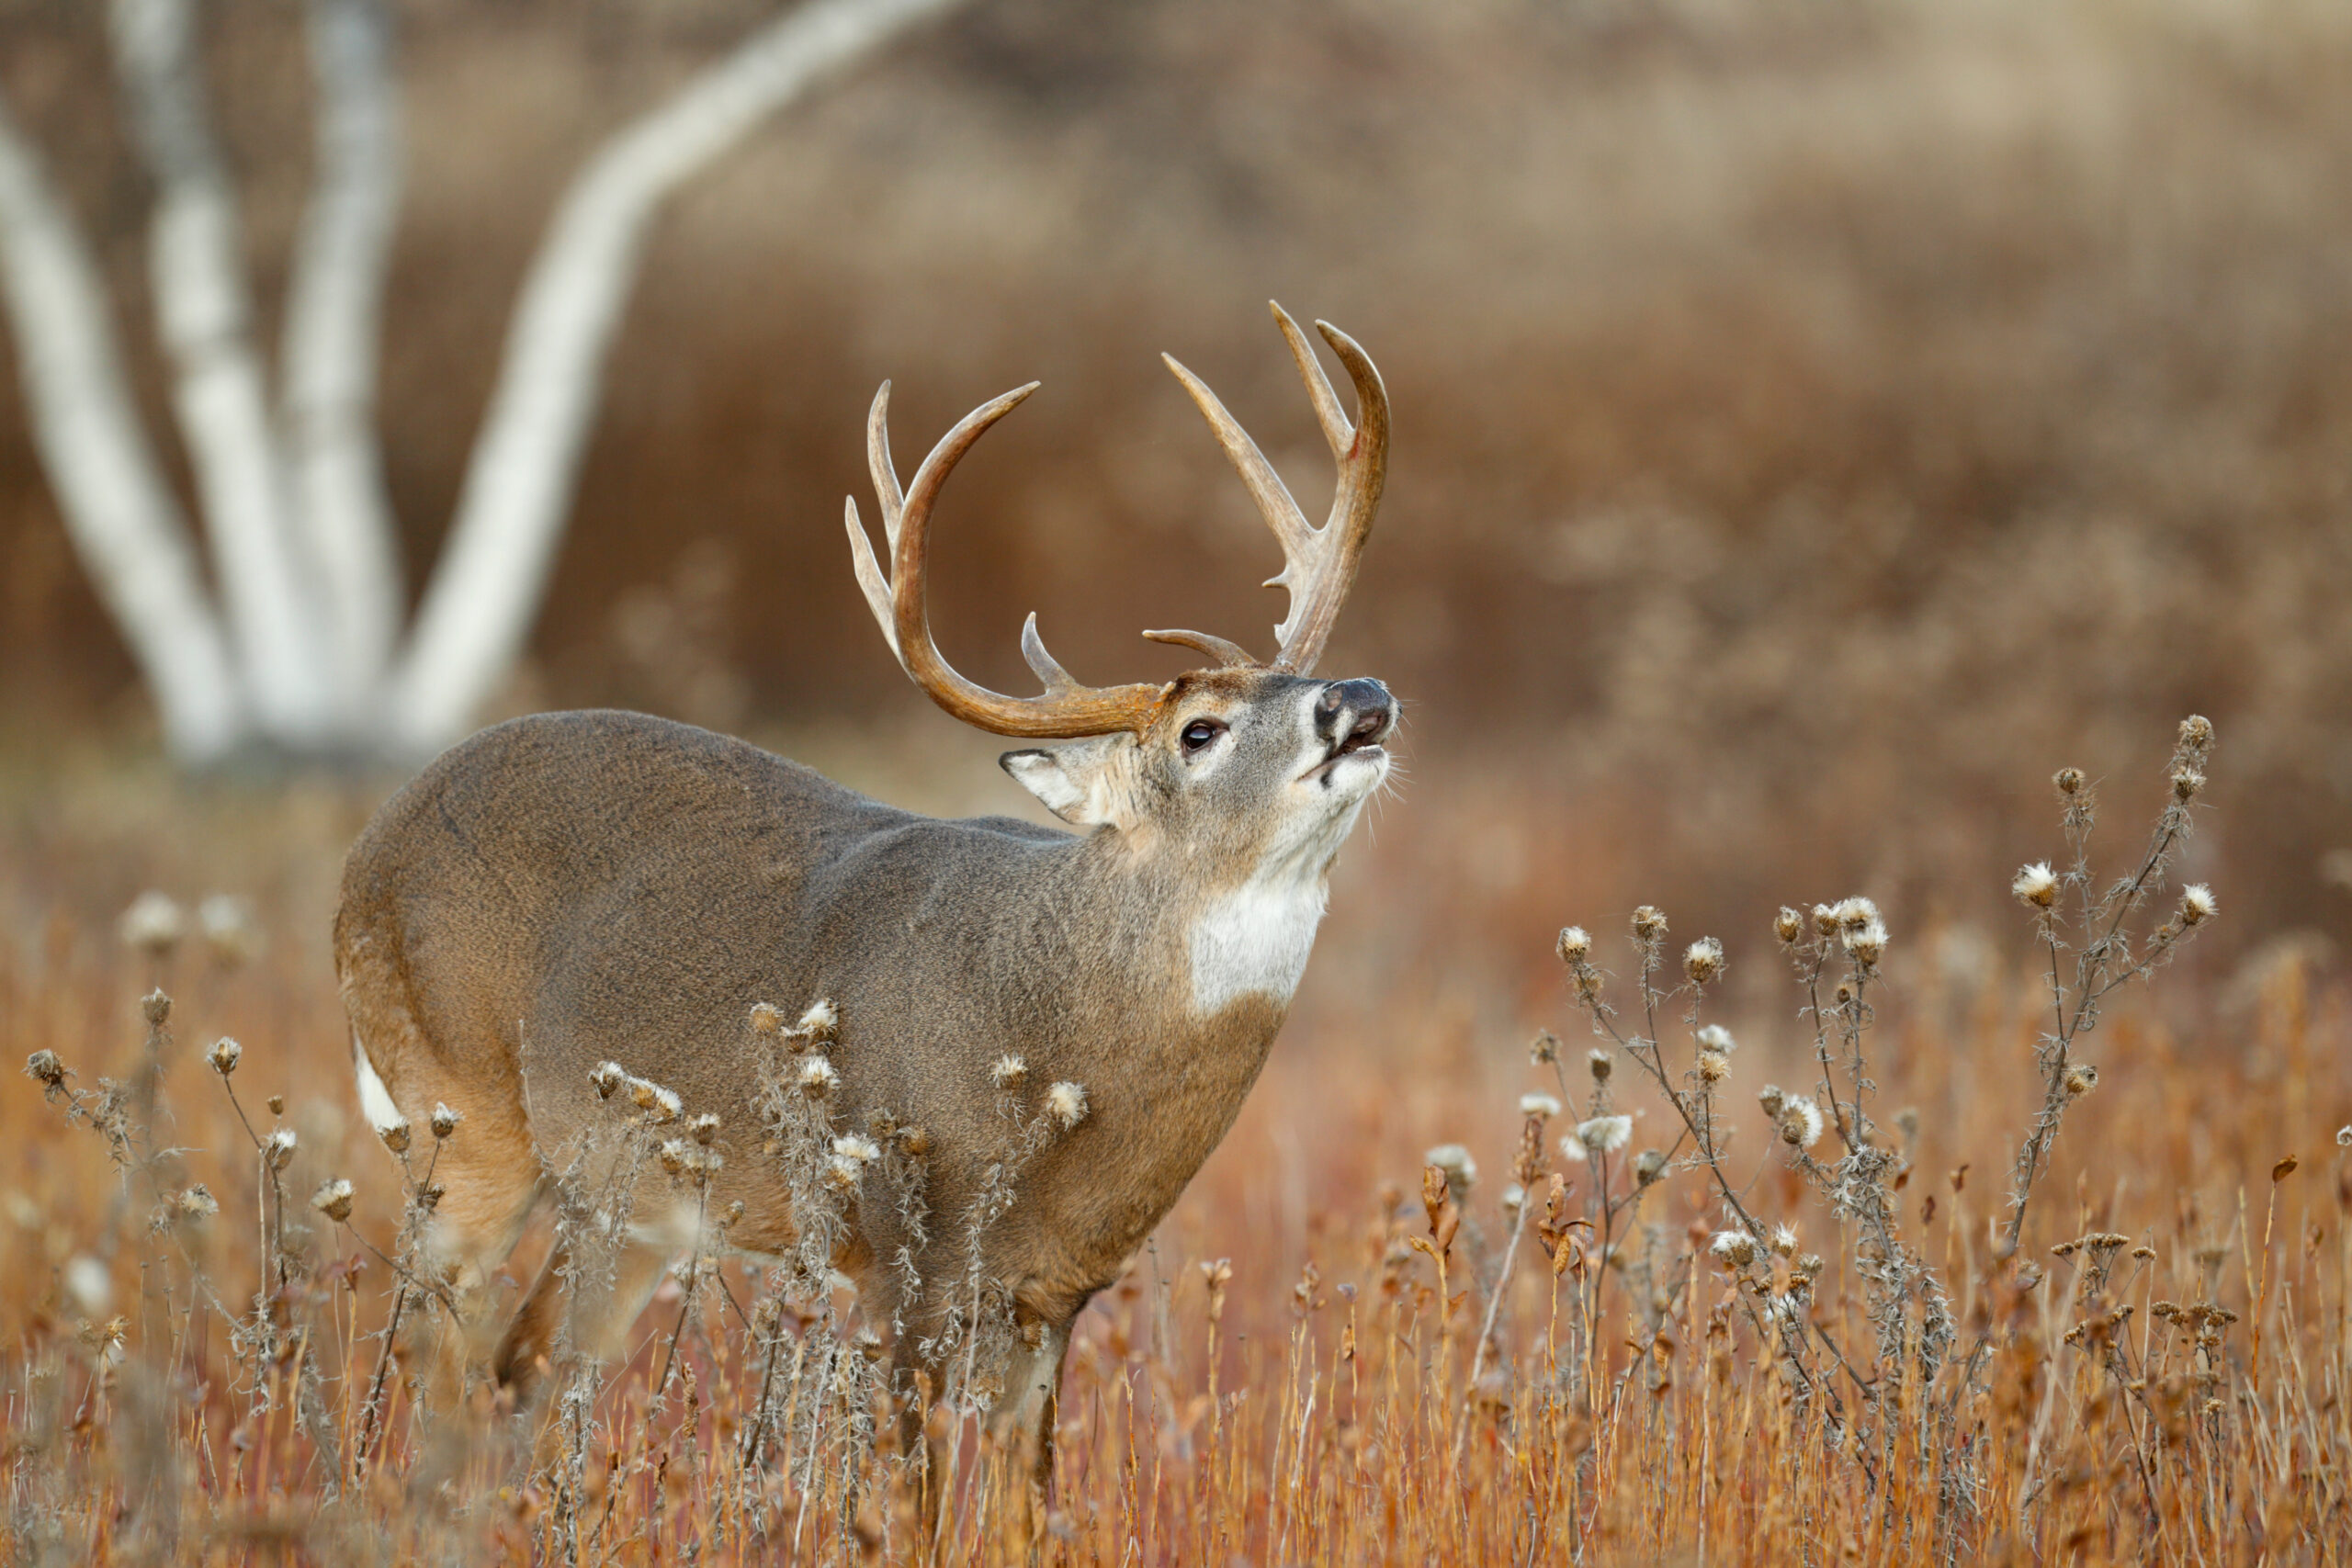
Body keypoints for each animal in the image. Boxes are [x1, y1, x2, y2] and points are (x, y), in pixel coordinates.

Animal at [332, 302, 1395, 1489]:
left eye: (1303, 680)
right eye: (1198, 731)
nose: (1360, 695)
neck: (1054, 1036)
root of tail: (367, 847)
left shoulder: (1054, 1298)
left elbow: (1029, 1505)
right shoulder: (901, 1258)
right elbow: (907, 1500)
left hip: (628, 1203)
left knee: (520, 1371)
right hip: (462, 1114)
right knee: (432, 1357)